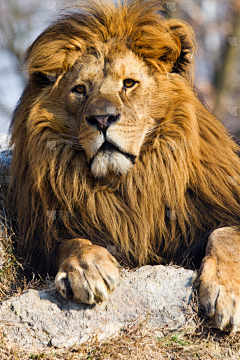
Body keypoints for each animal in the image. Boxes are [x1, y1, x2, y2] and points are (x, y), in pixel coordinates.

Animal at [8, 0, 240, 332]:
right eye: (80, 89)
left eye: (128, 84)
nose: (102, 118)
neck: (126, 184)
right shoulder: (40, 242)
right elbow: (69, 242)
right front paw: (87, 268)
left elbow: (226, 233)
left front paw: (225, 292)